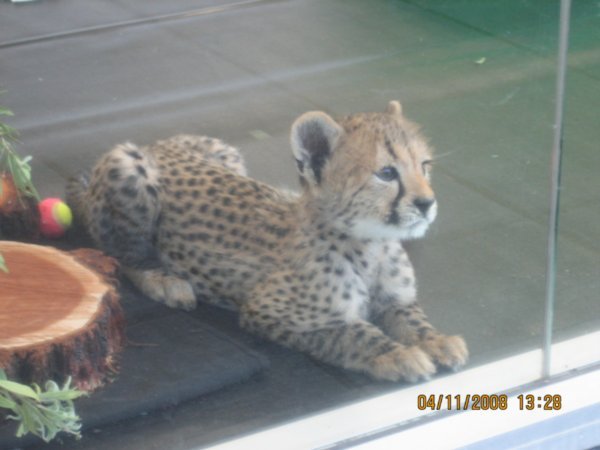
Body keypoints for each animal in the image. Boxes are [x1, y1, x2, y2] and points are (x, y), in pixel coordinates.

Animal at [67, 101, 468, 380]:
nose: (427, 203)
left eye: (425, 166)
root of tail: (157, 146)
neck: (373, 244)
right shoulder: (265, 310)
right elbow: (350, 331)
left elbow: (412, 317)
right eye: (386, 173)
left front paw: (435, 340)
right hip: (128, 165)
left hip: (228, 153)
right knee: (120, 255)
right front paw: (396, 353)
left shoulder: (397, 300)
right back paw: (164, 281)